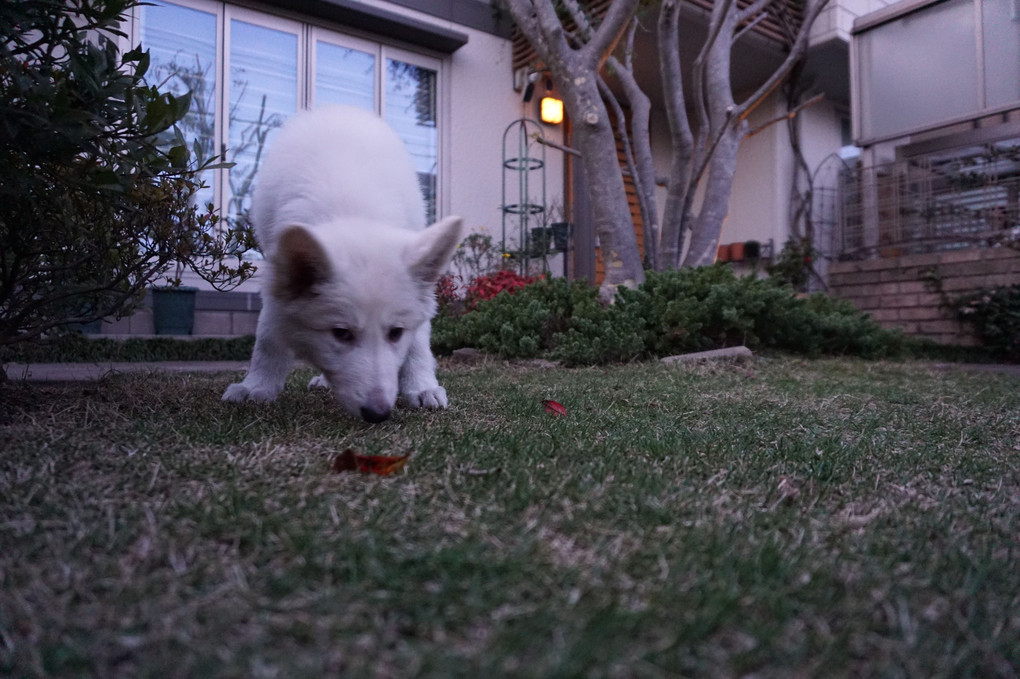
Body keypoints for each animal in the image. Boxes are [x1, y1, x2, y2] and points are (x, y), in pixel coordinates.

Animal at [225, 104, 465, 424]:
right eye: (340, 333)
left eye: (396, 333)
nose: (378, 413)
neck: (352, 212)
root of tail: (339, 108)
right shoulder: (278, 282)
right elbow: (268, 339)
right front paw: (257, 386)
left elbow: (418, 340)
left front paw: (421, 386)